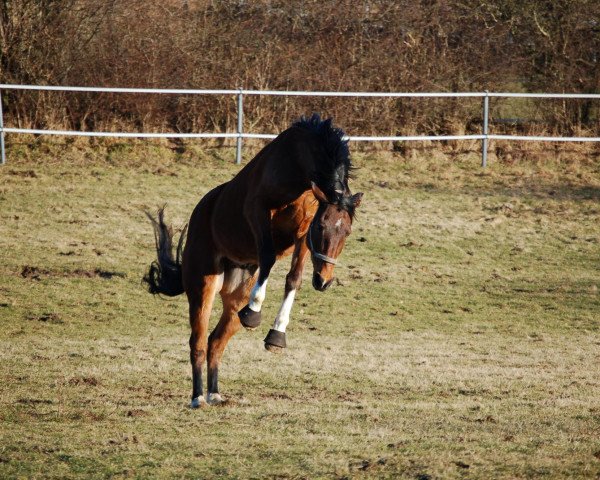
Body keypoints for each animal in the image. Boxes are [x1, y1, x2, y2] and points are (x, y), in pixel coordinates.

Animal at [144, 113, 360, 408]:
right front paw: (255, 311)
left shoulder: (302, 233)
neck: (296, 164)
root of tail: (201, 211)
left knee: (216, 342)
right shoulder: (258, 211)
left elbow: (293, 278)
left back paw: (214, 393)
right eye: (321, 227)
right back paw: (198, 397)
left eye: (346, 231)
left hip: (234, 298)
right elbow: (268, 258)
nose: (324, 280)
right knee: (198, 342)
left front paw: (277, 335)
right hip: (203, 287)